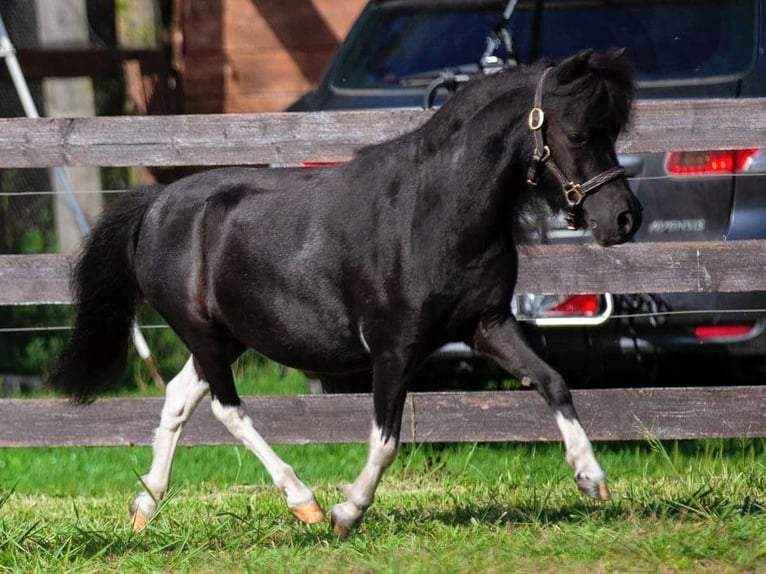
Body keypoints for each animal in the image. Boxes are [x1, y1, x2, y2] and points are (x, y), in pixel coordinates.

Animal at [51, 49, 641, 538]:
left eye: (613, 131)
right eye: (578, 133)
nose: (623, 218)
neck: (436, 213)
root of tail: (156, 205)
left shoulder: (487, 325)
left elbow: (553, 381)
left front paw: (592, 478)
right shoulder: (394, 348)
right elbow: (385, 440)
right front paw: (346, 513)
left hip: (227, 337)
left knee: (178, 396)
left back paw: (145, 506)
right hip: (201, 332)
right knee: (227, 408)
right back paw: (304, 503)